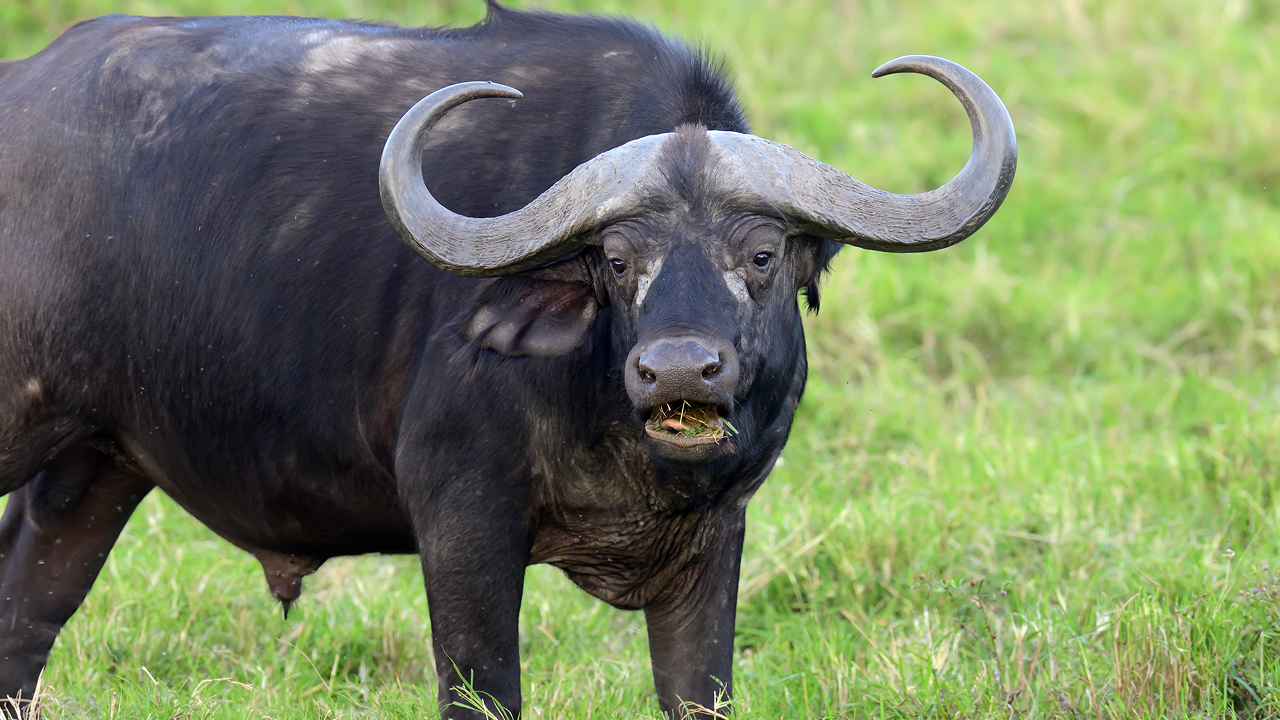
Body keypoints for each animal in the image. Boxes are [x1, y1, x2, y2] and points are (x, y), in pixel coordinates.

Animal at [0, 1, 1015, 717]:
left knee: (25, 612)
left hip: (94, 465)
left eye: (763, 253)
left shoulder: (716, 541)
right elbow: (484, 692)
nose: (678, 371)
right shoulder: (462, 525)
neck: (623, 449)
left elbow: (699, 693)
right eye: (617, 260)